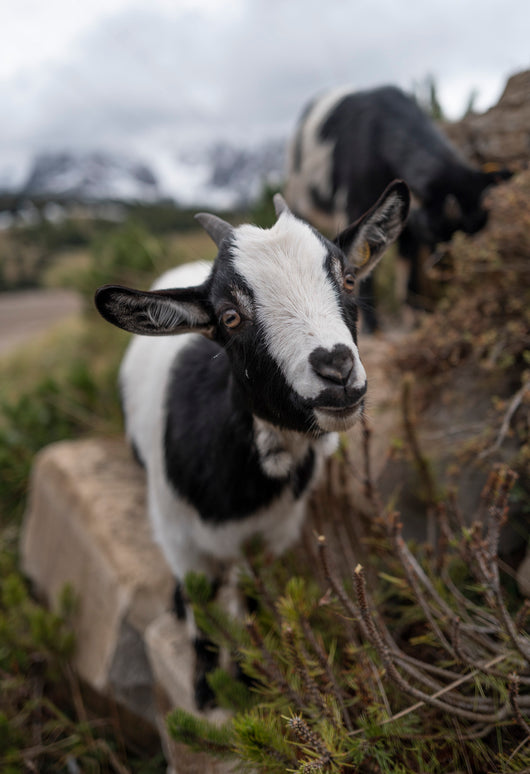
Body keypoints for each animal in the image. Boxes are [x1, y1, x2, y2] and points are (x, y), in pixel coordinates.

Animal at [94, 182, 410, 707]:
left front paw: (250, 677)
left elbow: (256, 601)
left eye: (347, 280)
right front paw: (207, 691)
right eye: (230, 316)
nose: (337, 368)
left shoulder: (271, 538)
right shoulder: (181, 539)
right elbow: (204, 616)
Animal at [286, 85, 512, 331]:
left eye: (477, 229)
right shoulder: (353, 205)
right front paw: (372, 327)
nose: (445, 273)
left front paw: (417, 318)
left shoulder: (407, 219)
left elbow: (409, 265)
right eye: (434, 230)